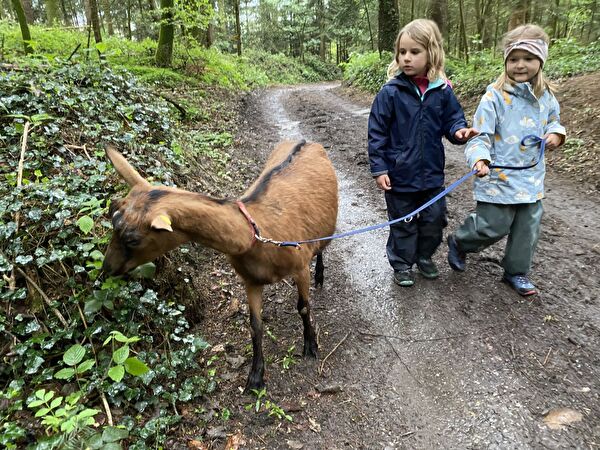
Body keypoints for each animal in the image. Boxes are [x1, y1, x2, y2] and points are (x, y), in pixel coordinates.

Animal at [102, 141, 338, 390]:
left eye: (132, 239)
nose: (107, 268)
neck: (256, 231)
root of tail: (306, 141)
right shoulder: (251, 280)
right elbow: (255, 325)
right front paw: (255, 376)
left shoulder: (300, 266)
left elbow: (303, 307)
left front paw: (311, 346)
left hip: (323, 230)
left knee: (321, 248)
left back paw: (320, 276)